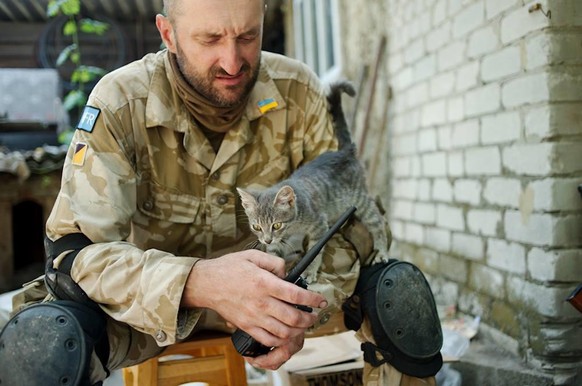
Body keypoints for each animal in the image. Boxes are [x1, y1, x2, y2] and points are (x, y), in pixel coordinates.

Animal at [237, 81, 392, 282]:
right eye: (256, 226)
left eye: (276, 225)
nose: (266, 239)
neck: (292, 228)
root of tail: (345, 151)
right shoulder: (282, 241)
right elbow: (275, 253)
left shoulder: (319, 226)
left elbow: (314, 251)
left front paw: (309, 271)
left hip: (360, 200)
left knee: (377, 220)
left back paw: (381, 251)